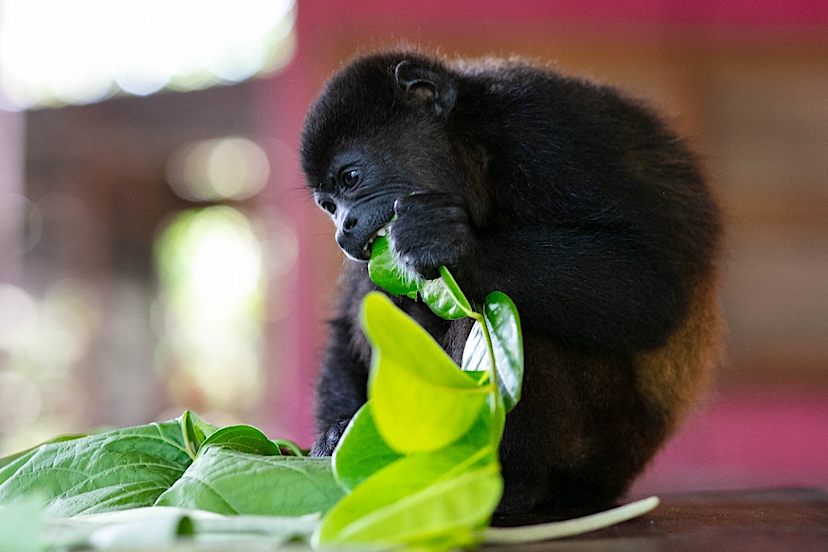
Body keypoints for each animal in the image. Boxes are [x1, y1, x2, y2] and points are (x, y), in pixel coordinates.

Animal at [300, 49, 722, 520]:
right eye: (328, 206)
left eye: (351, 178)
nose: (343, 231)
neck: (474, 148)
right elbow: (348, 321)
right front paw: (334, 438)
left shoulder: (541, 132)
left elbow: (651, 286)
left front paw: (451, 244)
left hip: (605, 445)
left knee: (523, 319)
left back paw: (502, 483)